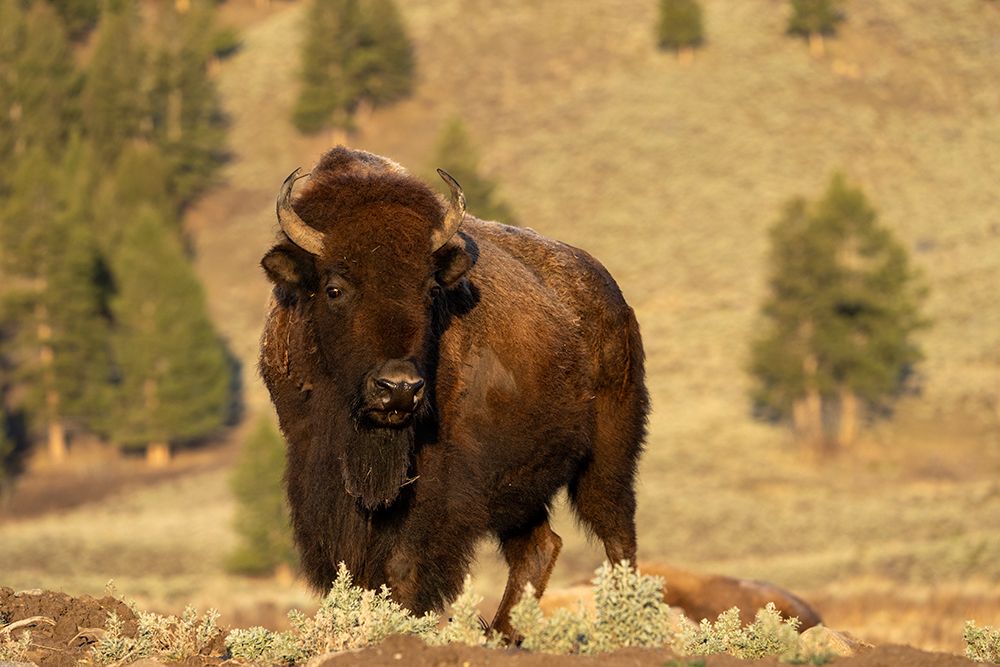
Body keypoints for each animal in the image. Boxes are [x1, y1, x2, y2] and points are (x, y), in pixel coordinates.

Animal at [259, 146, 648, 637]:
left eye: (429, 290)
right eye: (334, 288)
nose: (399, 389)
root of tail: (613, 298)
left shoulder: (440, 483)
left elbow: (404, 566)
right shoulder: (317, 469)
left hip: (608, 456)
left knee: (617, 538)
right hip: (523, 488)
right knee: (540, 546)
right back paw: (501, 634)